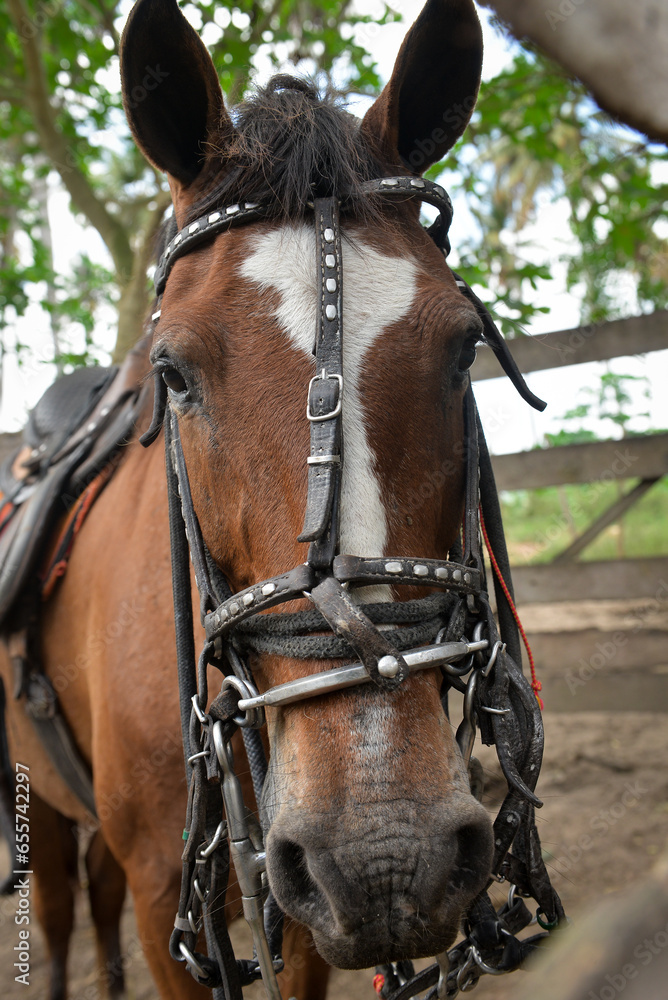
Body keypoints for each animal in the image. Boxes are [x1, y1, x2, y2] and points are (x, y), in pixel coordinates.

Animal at [1, 0, 564, 997]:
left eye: (465, 347)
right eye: (173, 374)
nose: (386, 853)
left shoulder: (300, 919)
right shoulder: (165, 898)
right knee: (63, 909)